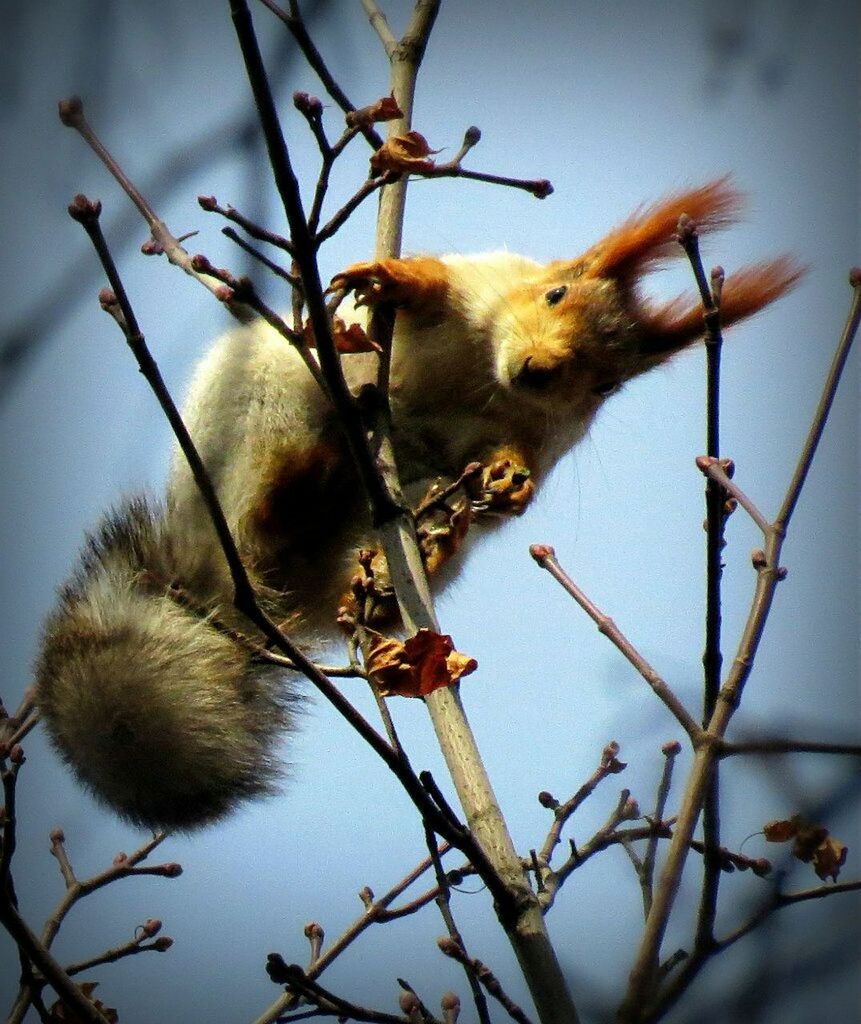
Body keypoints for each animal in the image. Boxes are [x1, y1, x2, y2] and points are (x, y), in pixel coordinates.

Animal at [33, 178, 798, 831]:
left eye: (607, 383)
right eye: (554, 293)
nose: (537, 371)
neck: (482, 373)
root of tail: (233, 585)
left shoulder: (536, 436)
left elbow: (504, 472)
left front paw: (509, 482)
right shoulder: (479, 283)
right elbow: (434, 286)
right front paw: (397, 279)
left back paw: (404, 556)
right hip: (259, 403)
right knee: (264, 495)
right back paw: (307, 475)